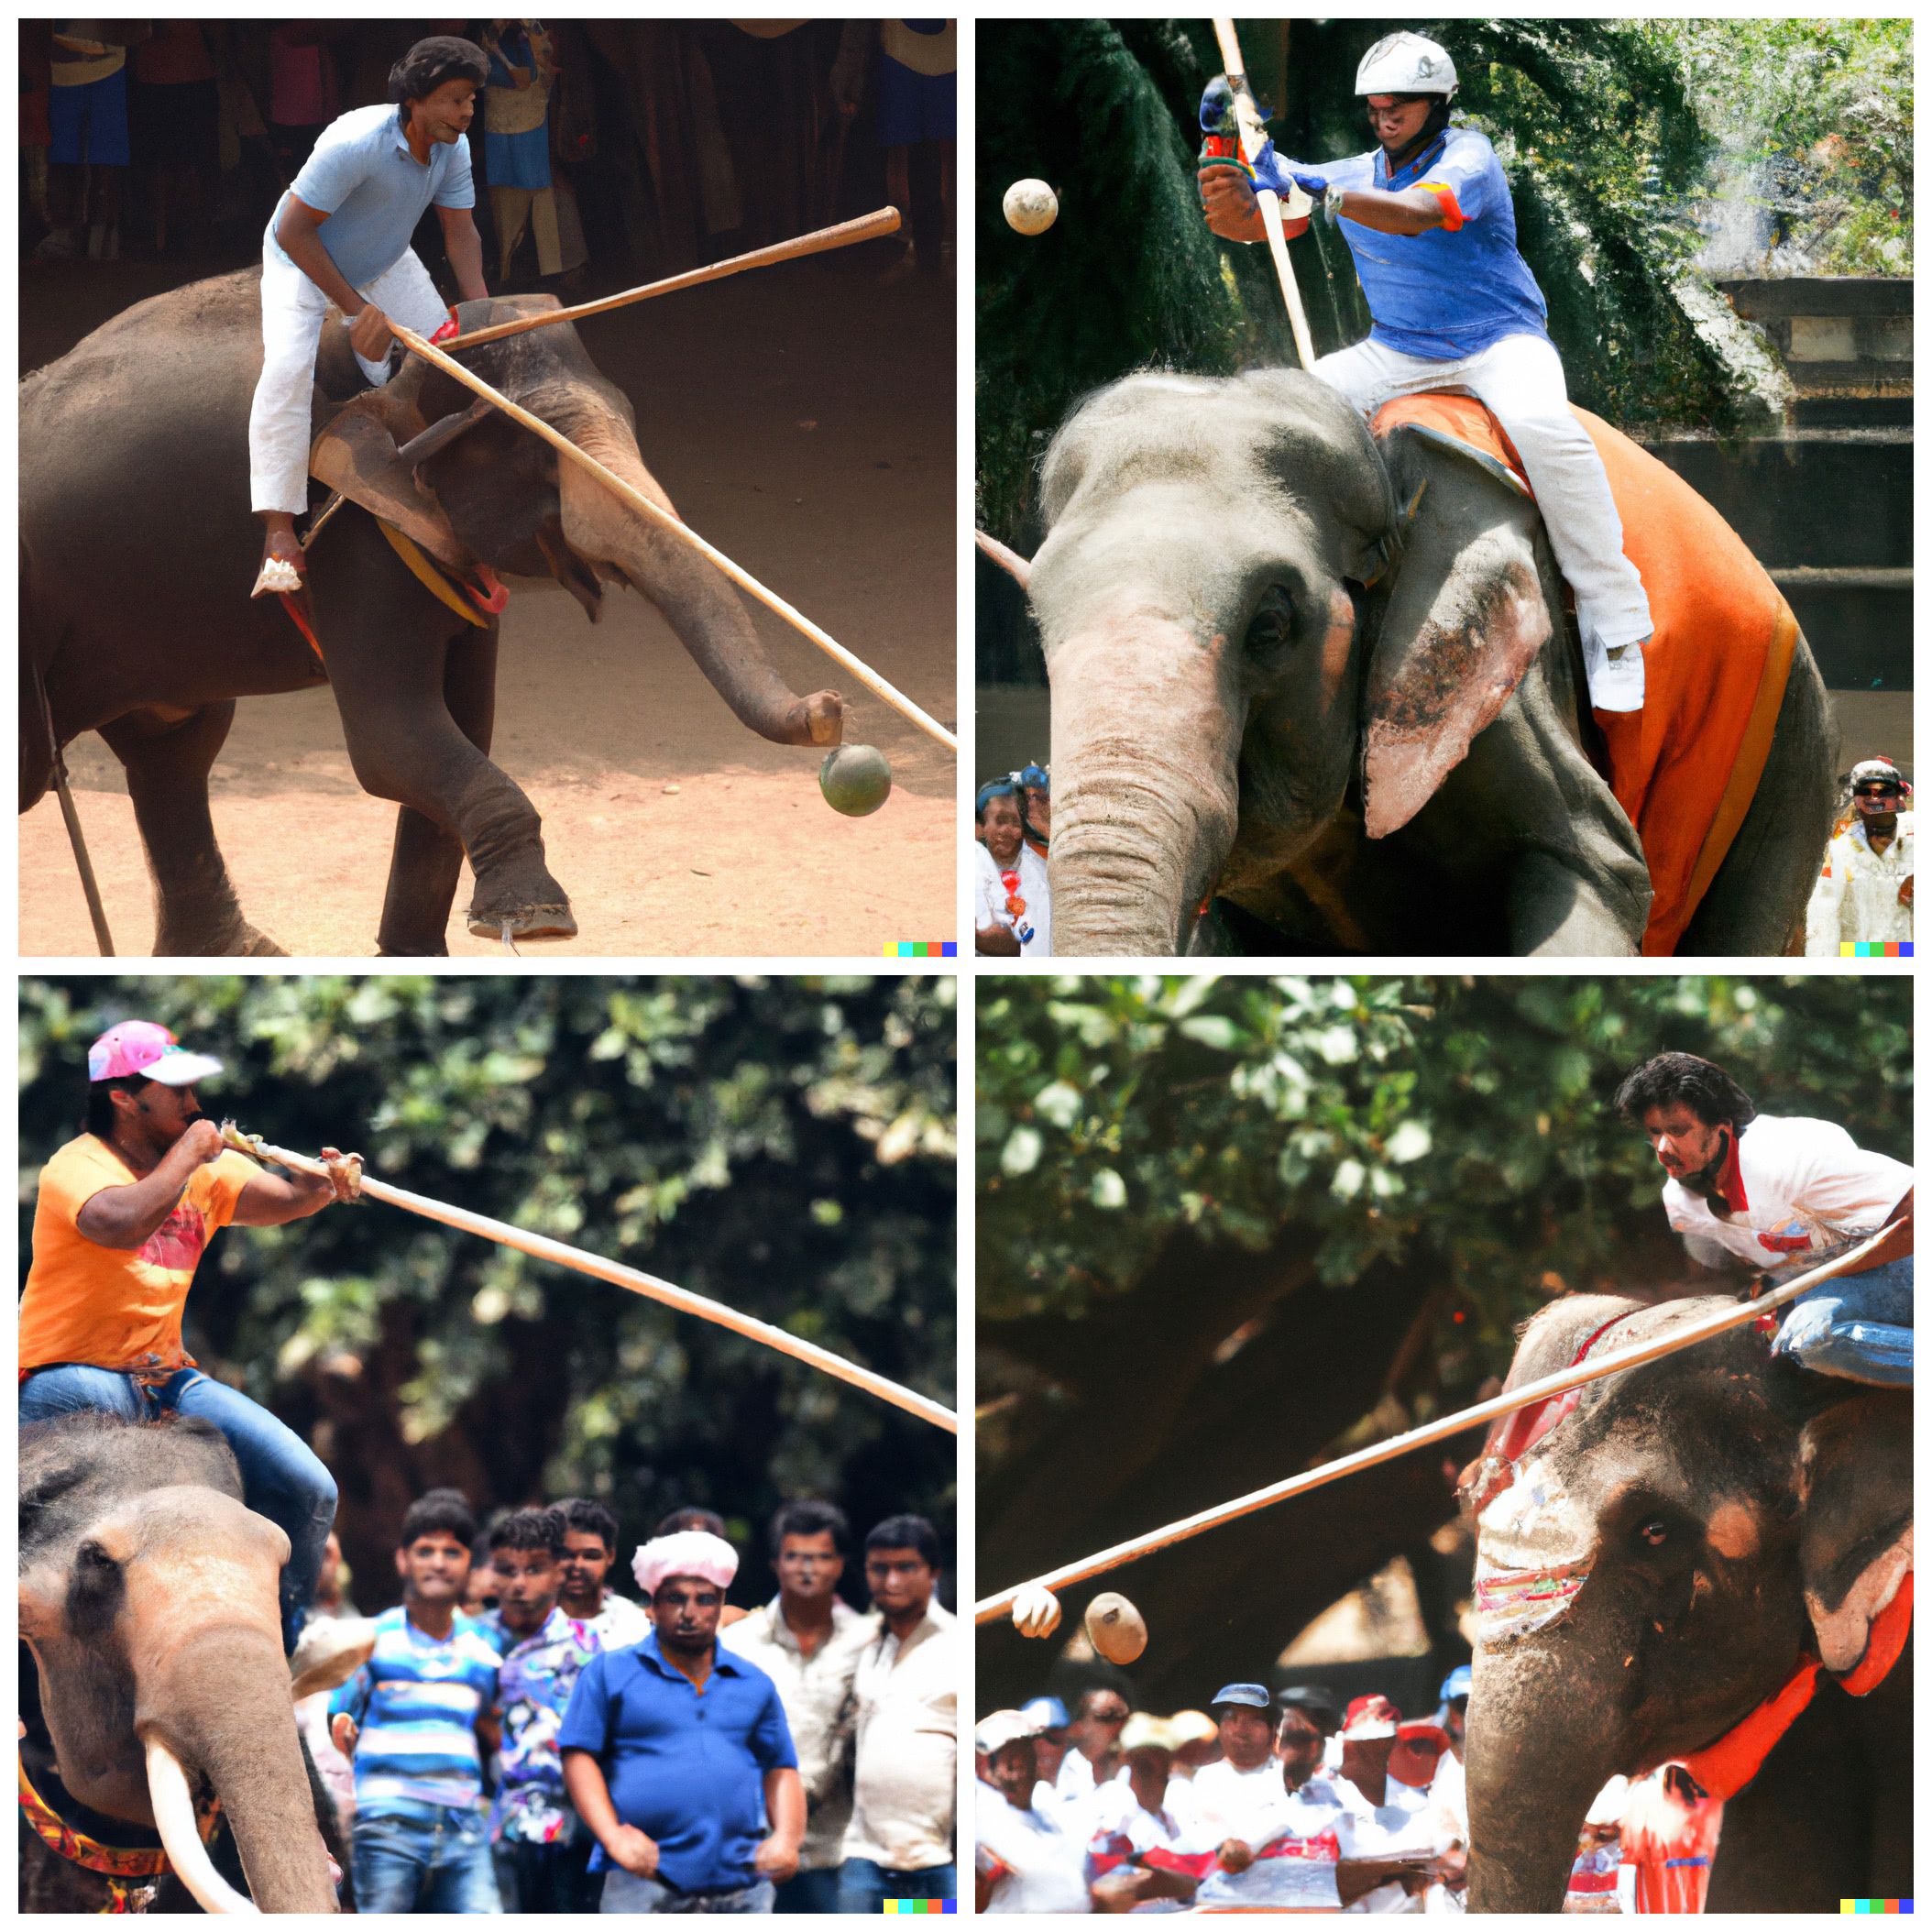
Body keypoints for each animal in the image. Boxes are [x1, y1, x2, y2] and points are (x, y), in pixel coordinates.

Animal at [18, 269, 842, 961]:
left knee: (175, 749)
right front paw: (538, 922)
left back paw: (236, 954)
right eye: (539, 457)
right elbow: (392, 737)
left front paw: (421, 953)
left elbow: (462, 725)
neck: (411, 359)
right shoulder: (351, 524)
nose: (830, 708)